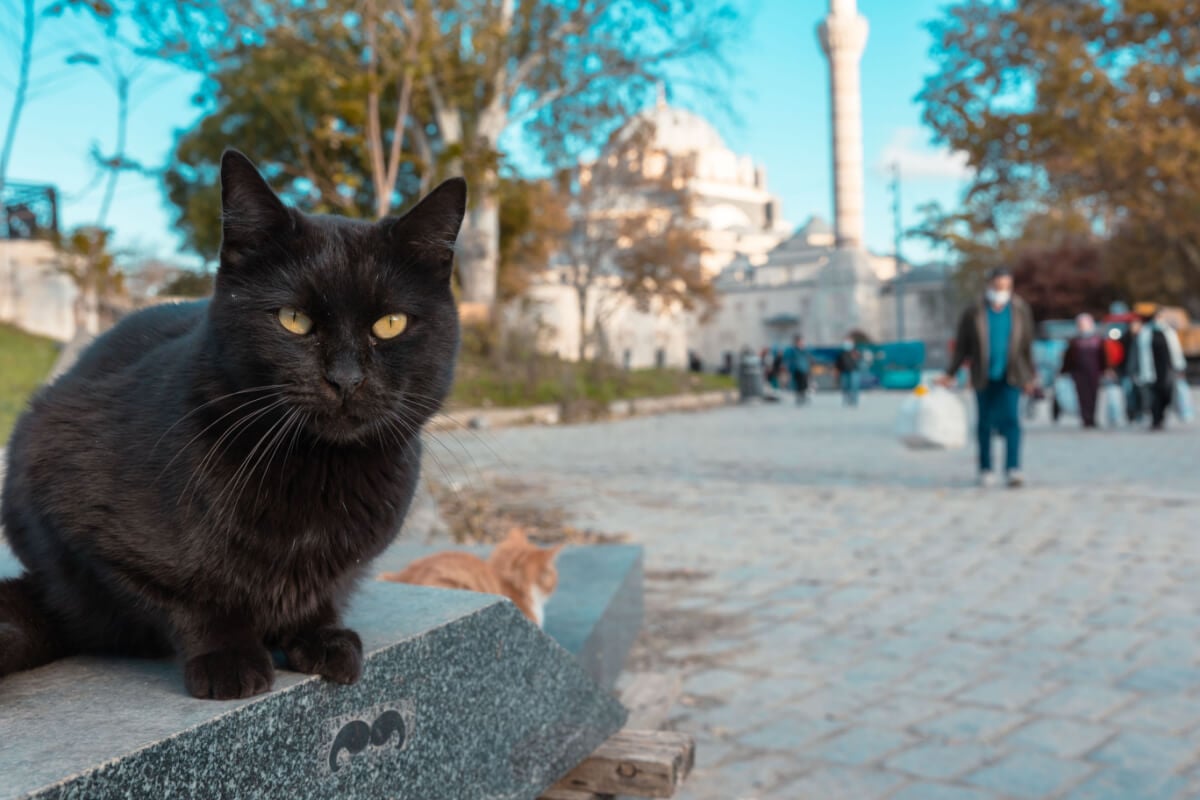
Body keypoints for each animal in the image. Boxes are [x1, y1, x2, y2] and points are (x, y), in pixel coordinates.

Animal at [0, 149, 465, 700]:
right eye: (292, 320)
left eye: (390, 324)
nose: (345, 378)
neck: (316, 471)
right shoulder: (65, 489)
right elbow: (188, 595)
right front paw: (228, 656)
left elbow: (321, 590)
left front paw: (320, 634)